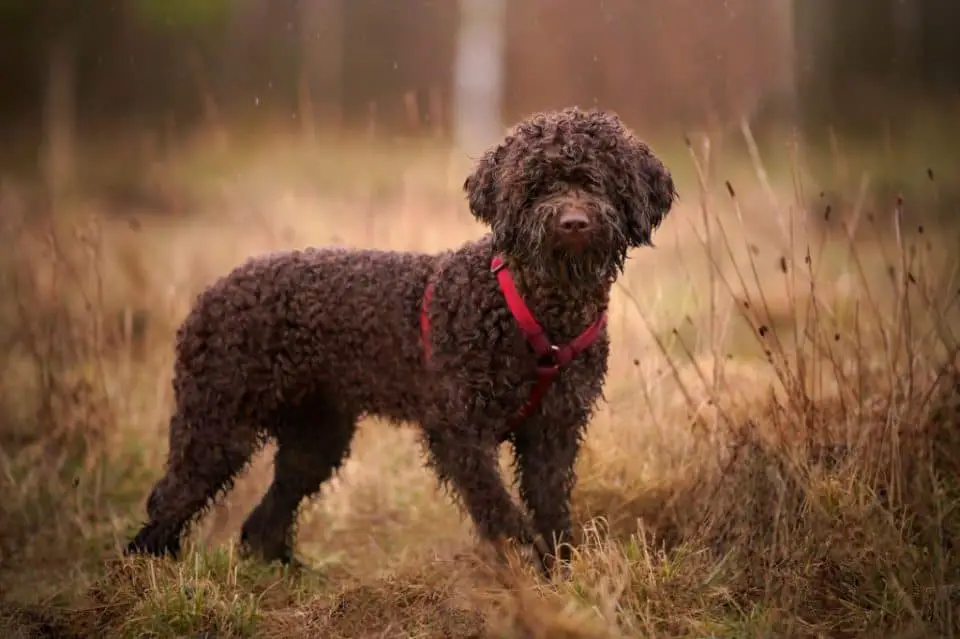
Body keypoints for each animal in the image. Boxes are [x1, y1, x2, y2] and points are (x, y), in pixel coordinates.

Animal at [127, 105, 680, 576]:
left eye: (597, 180)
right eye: (535, 185)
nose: (573, 223)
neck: (536, 313)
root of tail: (209, 296)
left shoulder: (553, 432)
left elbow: (550, 510)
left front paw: (559, 573)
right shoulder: (459, 431)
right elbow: (497, 508)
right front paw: (521, 560)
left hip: (316, 434)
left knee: (265, 518)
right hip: (219, 421)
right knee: (170, 500)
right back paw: (148, 573)